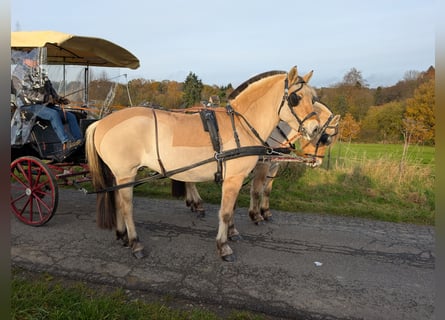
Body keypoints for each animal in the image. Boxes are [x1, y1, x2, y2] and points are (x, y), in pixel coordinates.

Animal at [84, 66, 320, 262]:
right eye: (296, 97)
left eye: (314, 98)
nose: (316, 129)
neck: (241, 125)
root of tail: (102, 122)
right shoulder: (234, 178)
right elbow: (225, 212)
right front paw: (223, 246)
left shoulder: (234, 177)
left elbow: (232, 208)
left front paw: (232, 234)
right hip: (126, 173)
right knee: (126, 207)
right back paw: (135, 243)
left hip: (119, 175)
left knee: (116, 201)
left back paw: (123, 236)